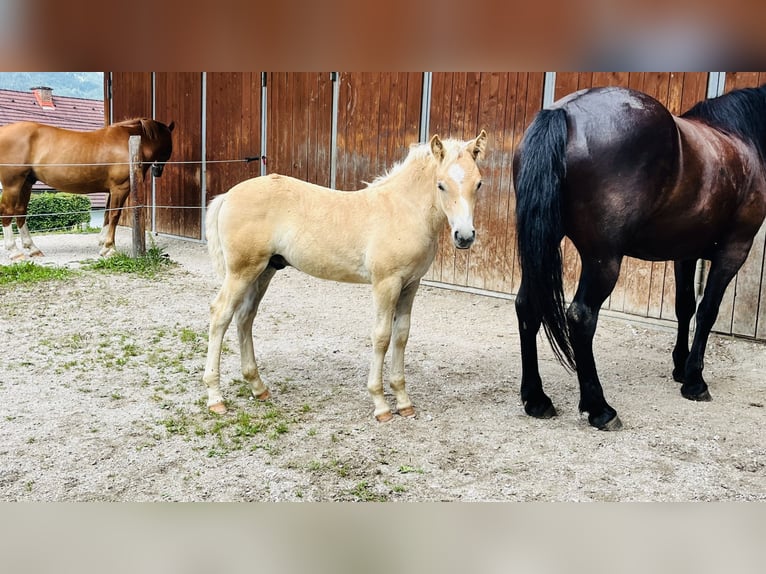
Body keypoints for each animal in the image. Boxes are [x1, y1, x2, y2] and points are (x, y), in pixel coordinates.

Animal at [0, 118, 175, 260]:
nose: (157, 172)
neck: (127, 141)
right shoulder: (120, 188)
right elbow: (115, 215)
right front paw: (110, 248)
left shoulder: (111, 191)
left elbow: (107, 215)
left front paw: (103, 243)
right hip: (12, 185)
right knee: (7, 213)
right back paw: (14, 252)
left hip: (26, 183)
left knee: (21, 212)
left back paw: (32, 249)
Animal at [203, 130, 487, 421]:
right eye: (441, 185)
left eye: (478, 184)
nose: (464, 237)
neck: (402, 211)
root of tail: (228, 195)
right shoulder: (386, 284)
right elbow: (382, 337)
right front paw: (381, 404)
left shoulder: (410, 285)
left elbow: (401, 336)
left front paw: (403, 401)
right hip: (241, 271)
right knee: (221, 314)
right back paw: (215, 397)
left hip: (263, 271)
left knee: (245, 317)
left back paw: (258, 387)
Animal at [513, 84, 766, 430]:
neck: (741, 138)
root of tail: (564, 112)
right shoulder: (734, 250)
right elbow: (707, 311)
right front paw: (695, 380)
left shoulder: (685, 253)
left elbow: (685, 307)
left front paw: (680, 367)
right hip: (603, 259)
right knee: (581, 317)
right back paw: (600, 409)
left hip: (542, 244)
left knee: (528, 306)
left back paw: (536, 399)